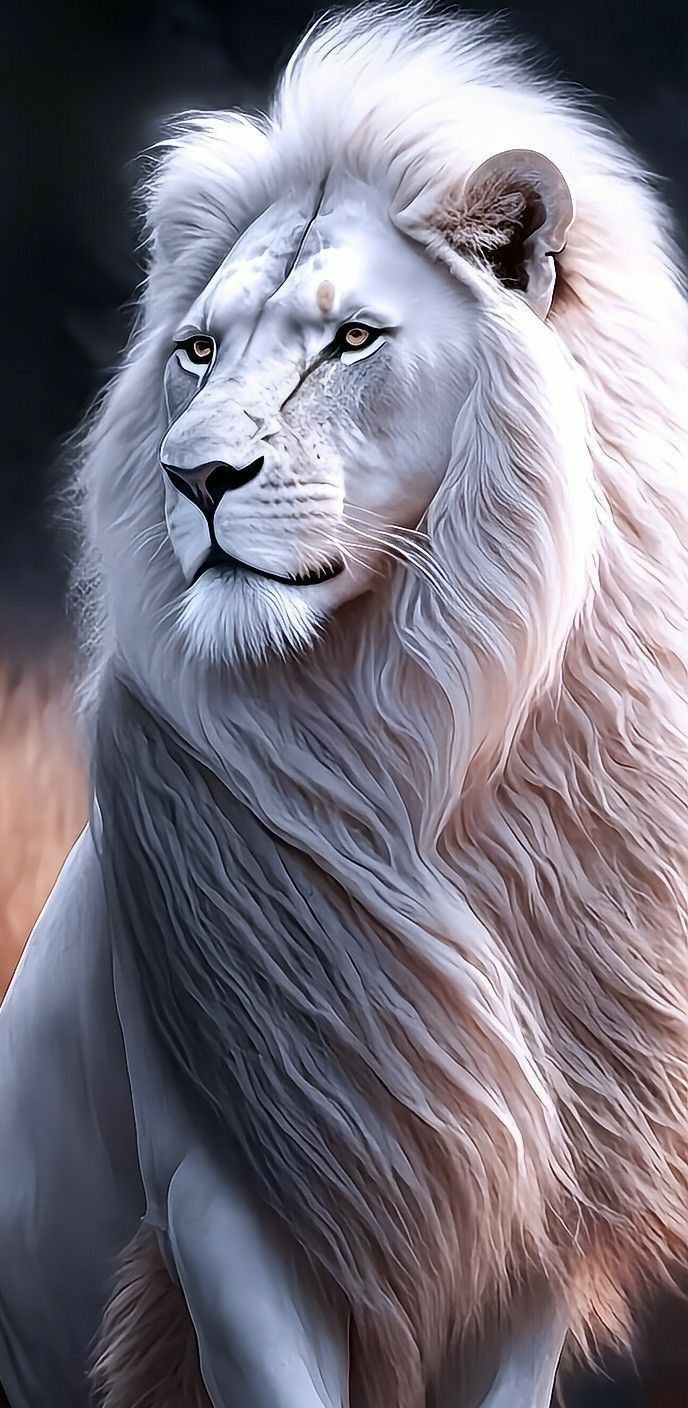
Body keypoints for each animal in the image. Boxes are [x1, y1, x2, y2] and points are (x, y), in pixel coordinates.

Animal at [1, 6, 687, 1407]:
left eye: (351, 340)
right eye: (199, 348)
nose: (193, 475)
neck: (407, 738)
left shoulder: (521, 1209)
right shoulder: (224, 1201)